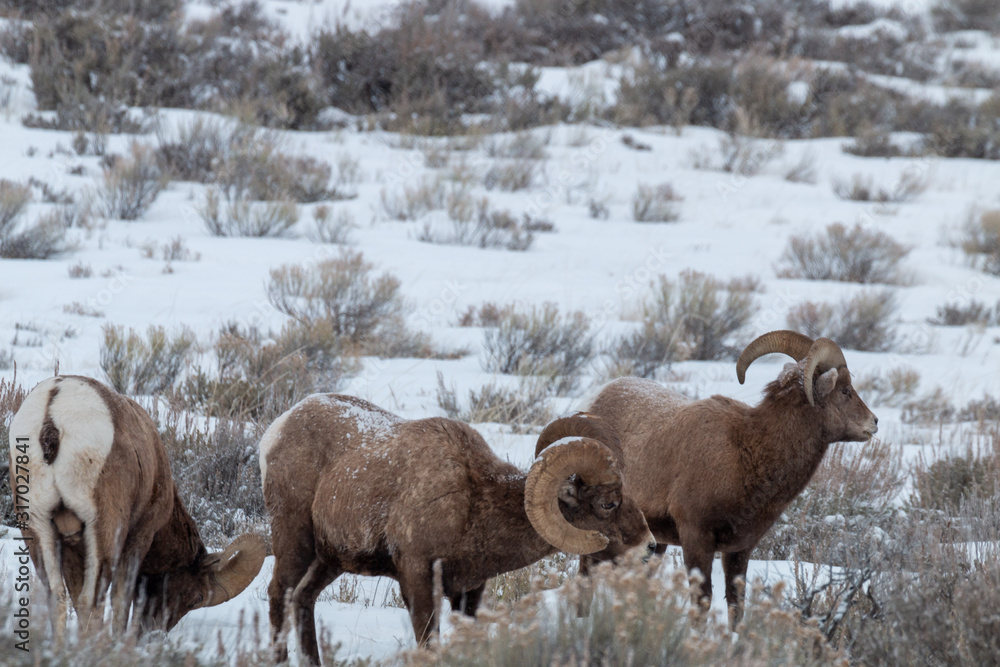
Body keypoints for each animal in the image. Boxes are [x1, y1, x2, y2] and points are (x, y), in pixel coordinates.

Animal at [8, 376, 266, 636]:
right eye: (198, 598)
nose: (153, 633)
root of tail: (52, 416)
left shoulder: (71, 546)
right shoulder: (139, 537)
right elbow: (121, 600)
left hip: (38, 529)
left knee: (57, 598)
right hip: (103, 531)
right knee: (92, 602)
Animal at [260, 394, 656, 664]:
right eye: (608, 503)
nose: (650, 547)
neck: (473, 503)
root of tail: (277, 430)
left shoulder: (470, 592)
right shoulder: (418, 581)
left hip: (328, 561)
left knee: (303, 599)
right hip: (295, 543)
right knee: (279, 594)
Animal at [584, 332, 876, 628]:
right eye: (844, 390)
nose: (873, 423)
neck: (747, 451)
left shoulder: (740, 551)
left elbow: (737, 607)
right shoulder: (696, 539)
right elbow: (702, 603)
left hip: (653, 546)